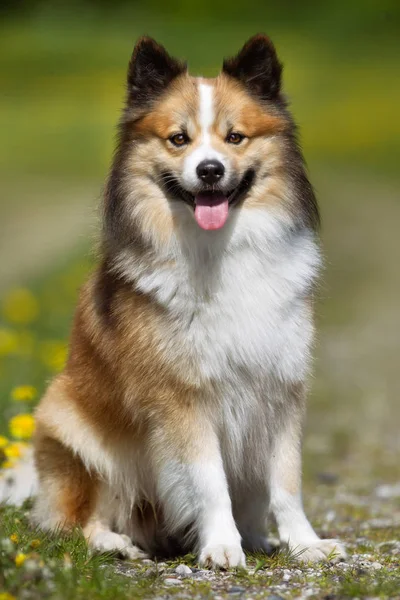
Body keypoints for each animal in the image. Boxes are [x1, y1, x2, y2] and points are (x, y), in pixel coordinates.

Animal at [31, 34, 346, 568]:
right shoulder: (182, 396)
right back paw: (116, 542)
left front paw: (304, 543)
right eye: (178, 139)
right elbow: (209, 480)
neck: (218, 253)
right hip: (66, 422)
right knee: (73, 520)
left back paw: (255, 536)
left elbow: (286, 482)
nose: (210, 170)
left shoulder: (280, 388)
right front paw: (220, 546)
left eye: (235, 137)